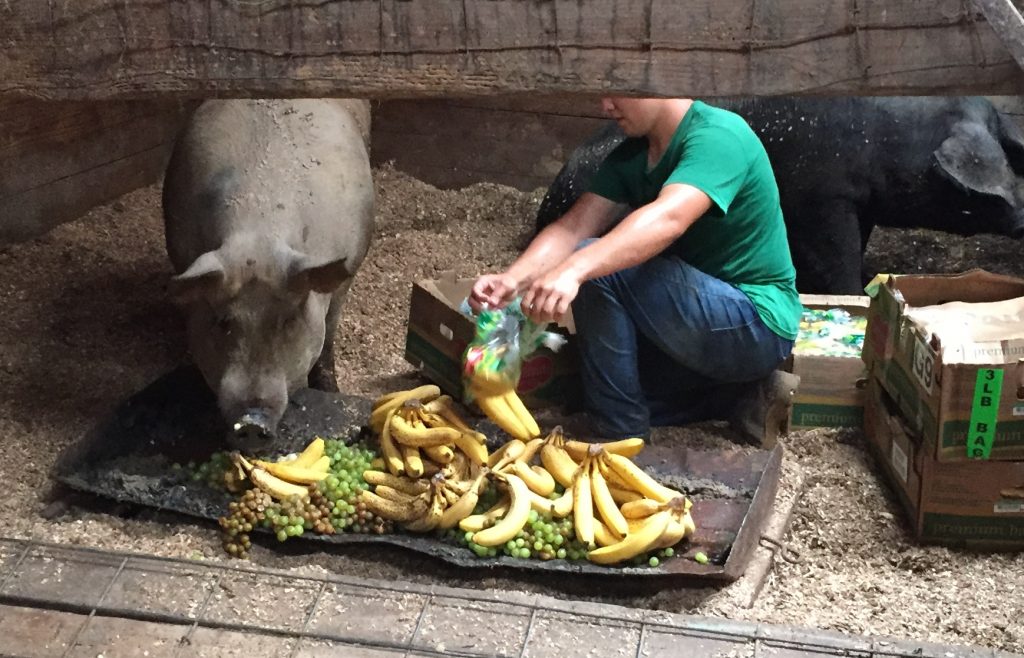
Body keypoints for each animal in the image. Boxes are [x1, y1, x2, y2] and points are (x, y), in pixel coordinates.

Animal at [163, 97, 376, 448]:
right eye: (223, 322)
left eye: (288, 321)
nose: (252, 420)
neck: (259, 233)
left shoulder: (346, 276)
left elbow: (327, 339)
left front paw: (329, 390)